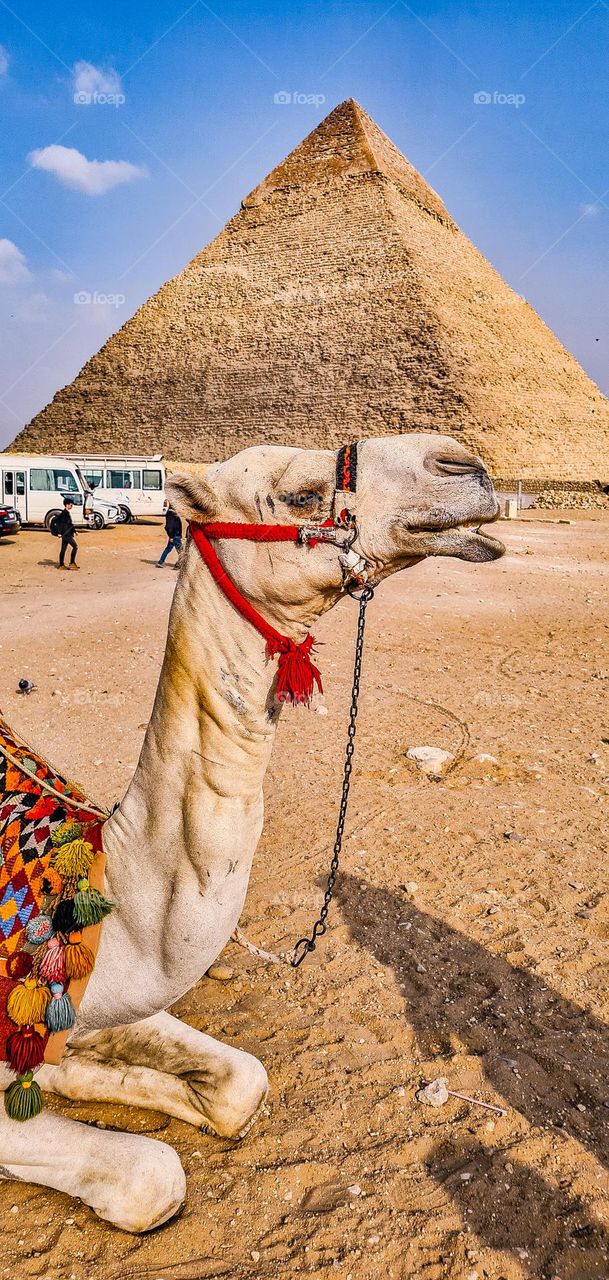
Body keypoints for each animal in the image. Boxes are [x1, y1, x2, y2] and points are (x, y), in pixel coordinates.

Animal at [0, 433, 503, 1232]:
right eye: (298, 495)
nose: (463, 465)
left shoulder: (93, 997)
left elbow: (242, 1085)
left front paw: (77, 1072)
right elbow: (151, 1176)